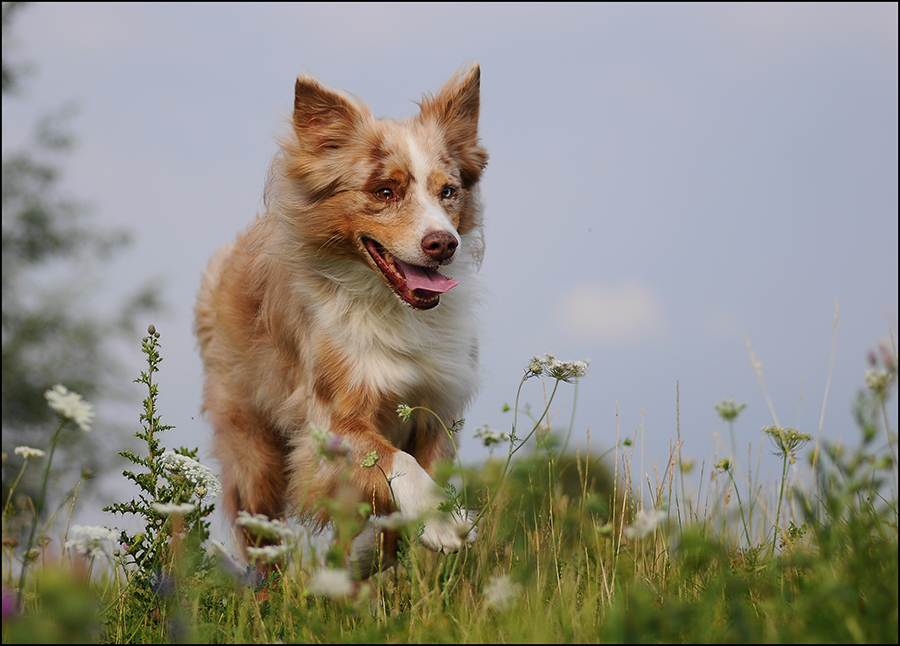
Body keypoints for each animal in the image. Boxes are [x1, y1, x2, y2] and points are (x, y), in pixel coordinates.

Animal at [194, 64, 488, 584]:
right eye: (384, 191)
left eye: (448, 192)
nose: (443, 243)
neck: (392, 307)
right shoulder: (331, 421)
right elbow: (397, 461)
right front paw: (440, 522)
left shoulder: (436, 411)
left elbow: (415, 485)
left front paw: (375, 556)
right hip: (254, 450)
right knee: (261, 535)